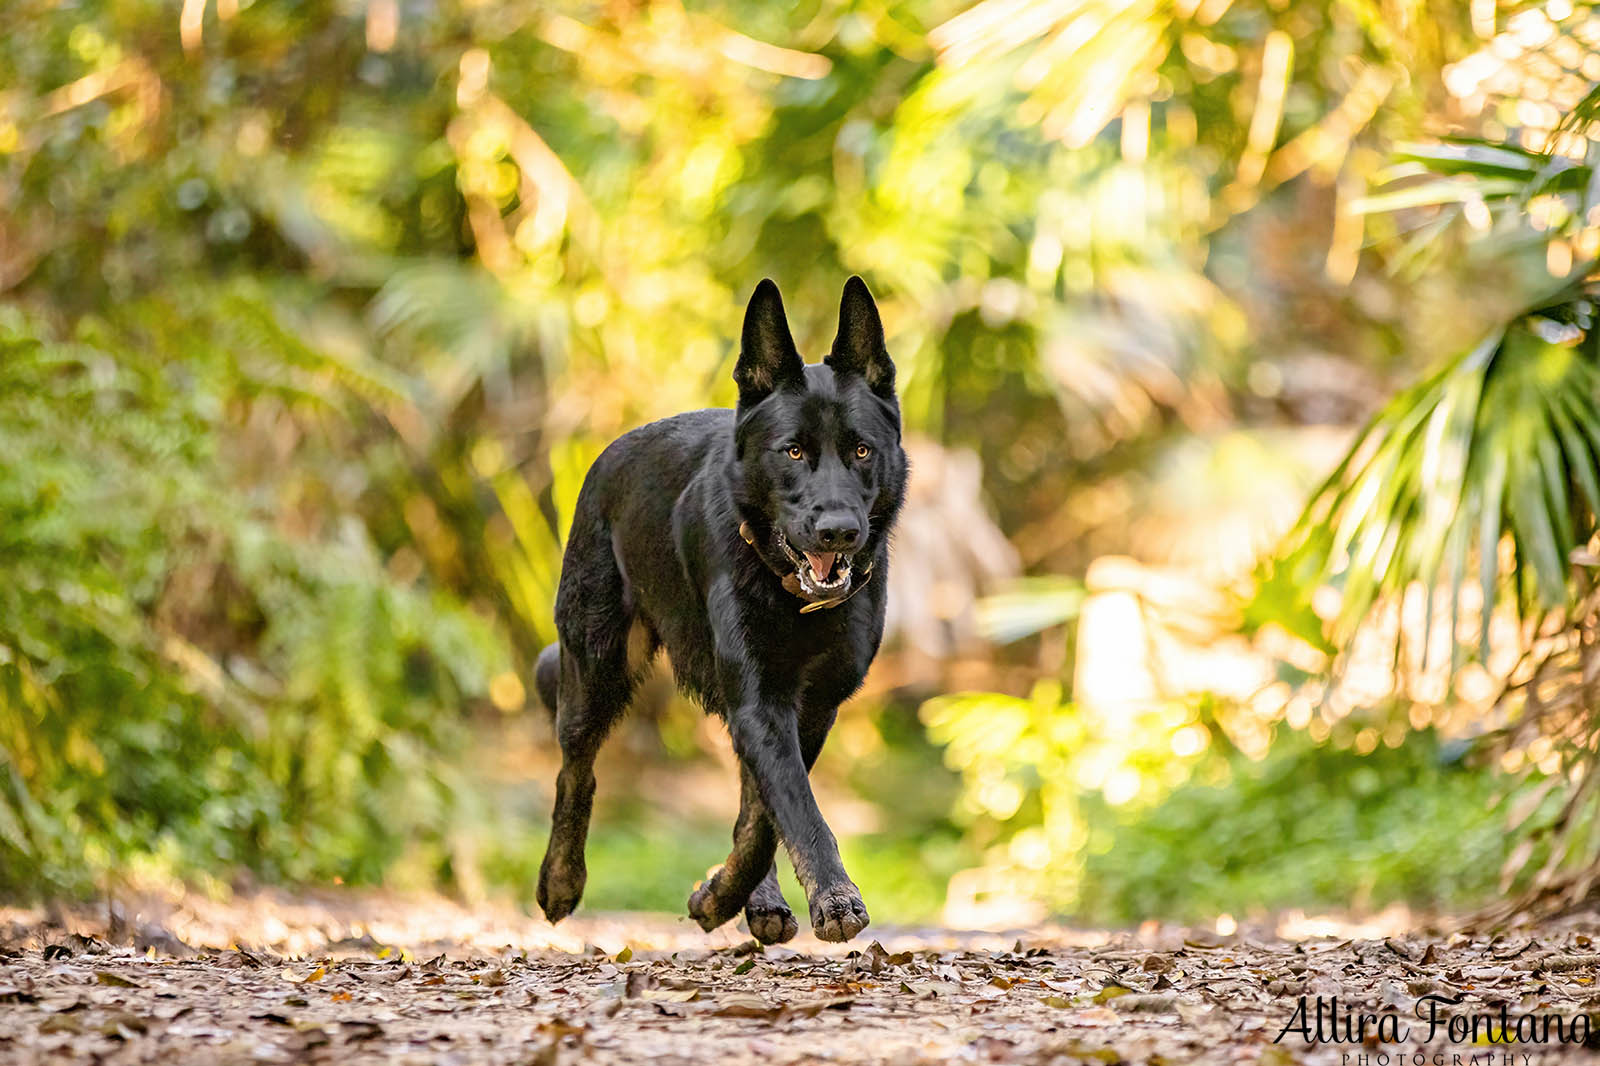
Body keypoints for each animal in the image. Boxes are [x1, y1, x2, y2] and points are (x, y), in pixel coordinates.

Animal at [534, 275, 902, 941]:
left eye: (862, 452)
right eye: (792, 453)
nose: (838, 530)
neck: (795, 603)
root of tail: (610, 452)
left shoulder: (809, 708)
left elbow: (766, 818)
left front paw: (724, 895)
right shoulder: (760, 700)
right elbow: (793, 809)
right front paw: (829, 898)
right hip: (597, 669)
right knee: (575, 770)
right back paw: (560, 881)